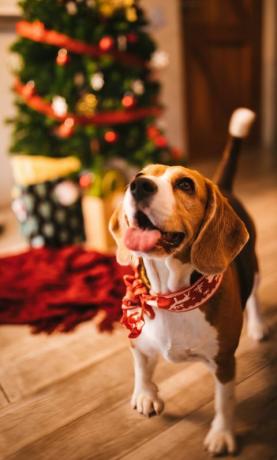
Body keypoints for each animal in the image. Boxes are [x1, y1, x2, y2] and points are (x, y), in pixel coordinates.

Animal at [109, 108, 266, 456]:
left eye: (185, 184)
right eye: (140, 173)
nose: (137, 185)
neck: (170, 296)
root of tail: (223, 186)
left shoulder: (224, 362)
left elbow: (224, 401)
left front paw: (221, 434)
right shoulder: (136, 335)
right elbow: (141, 364)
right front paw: (146, 393)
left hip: (255, 266)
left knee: (254, 296)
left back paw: (259, 325)